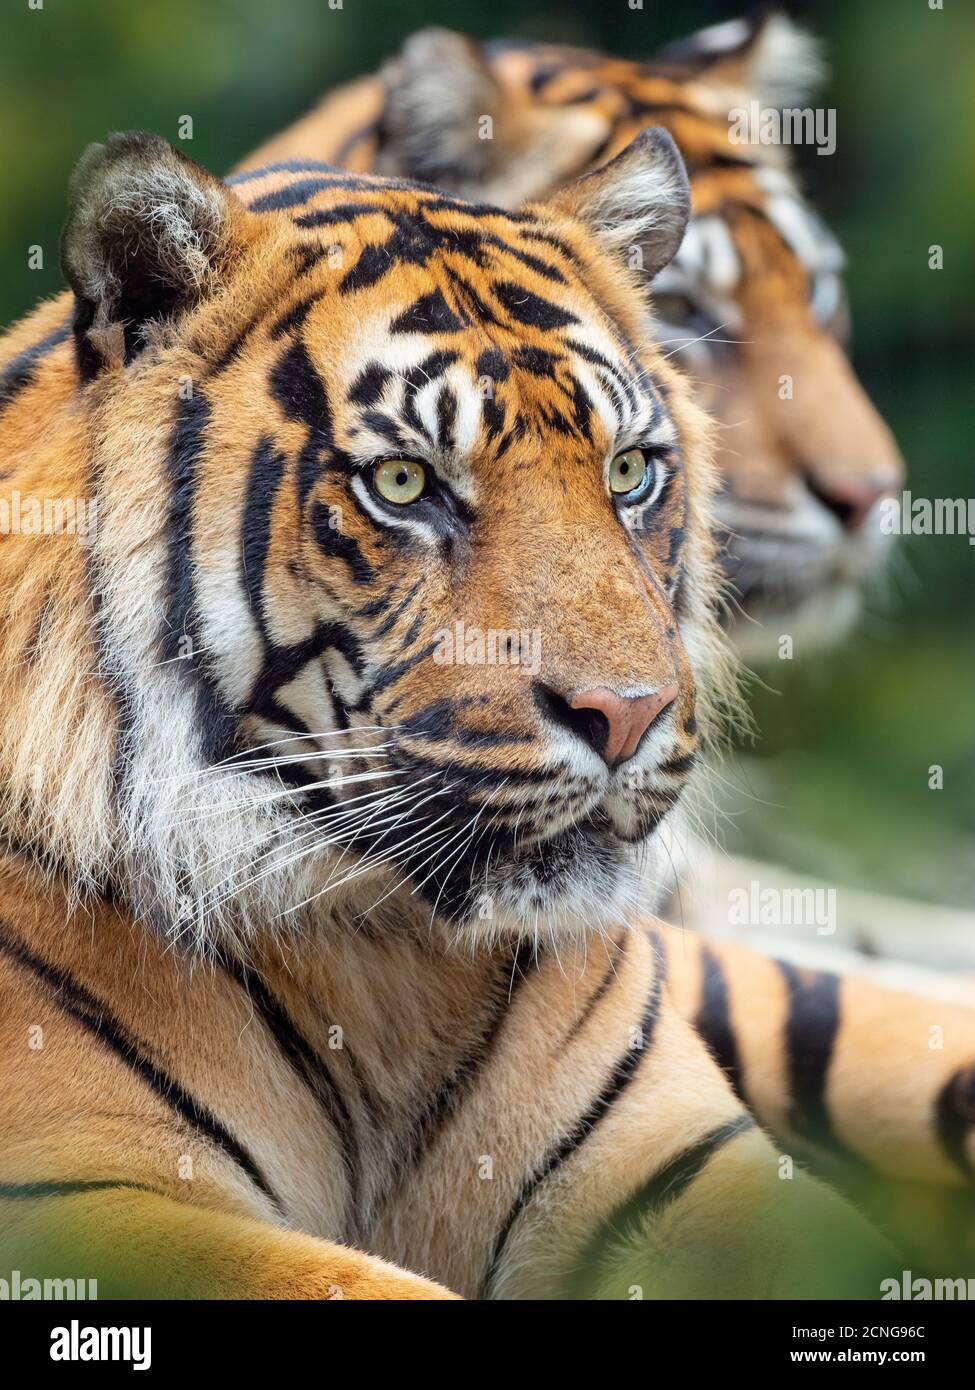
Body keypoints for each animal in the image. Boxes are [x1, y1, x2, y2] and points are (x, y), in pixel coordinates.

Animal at [1, 123, 955, 1299]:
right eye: (405, 484)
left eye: (628, 471)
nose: (627, 715)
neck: (380, 959)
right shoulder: (86, 1195)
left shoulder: (682, 1162)